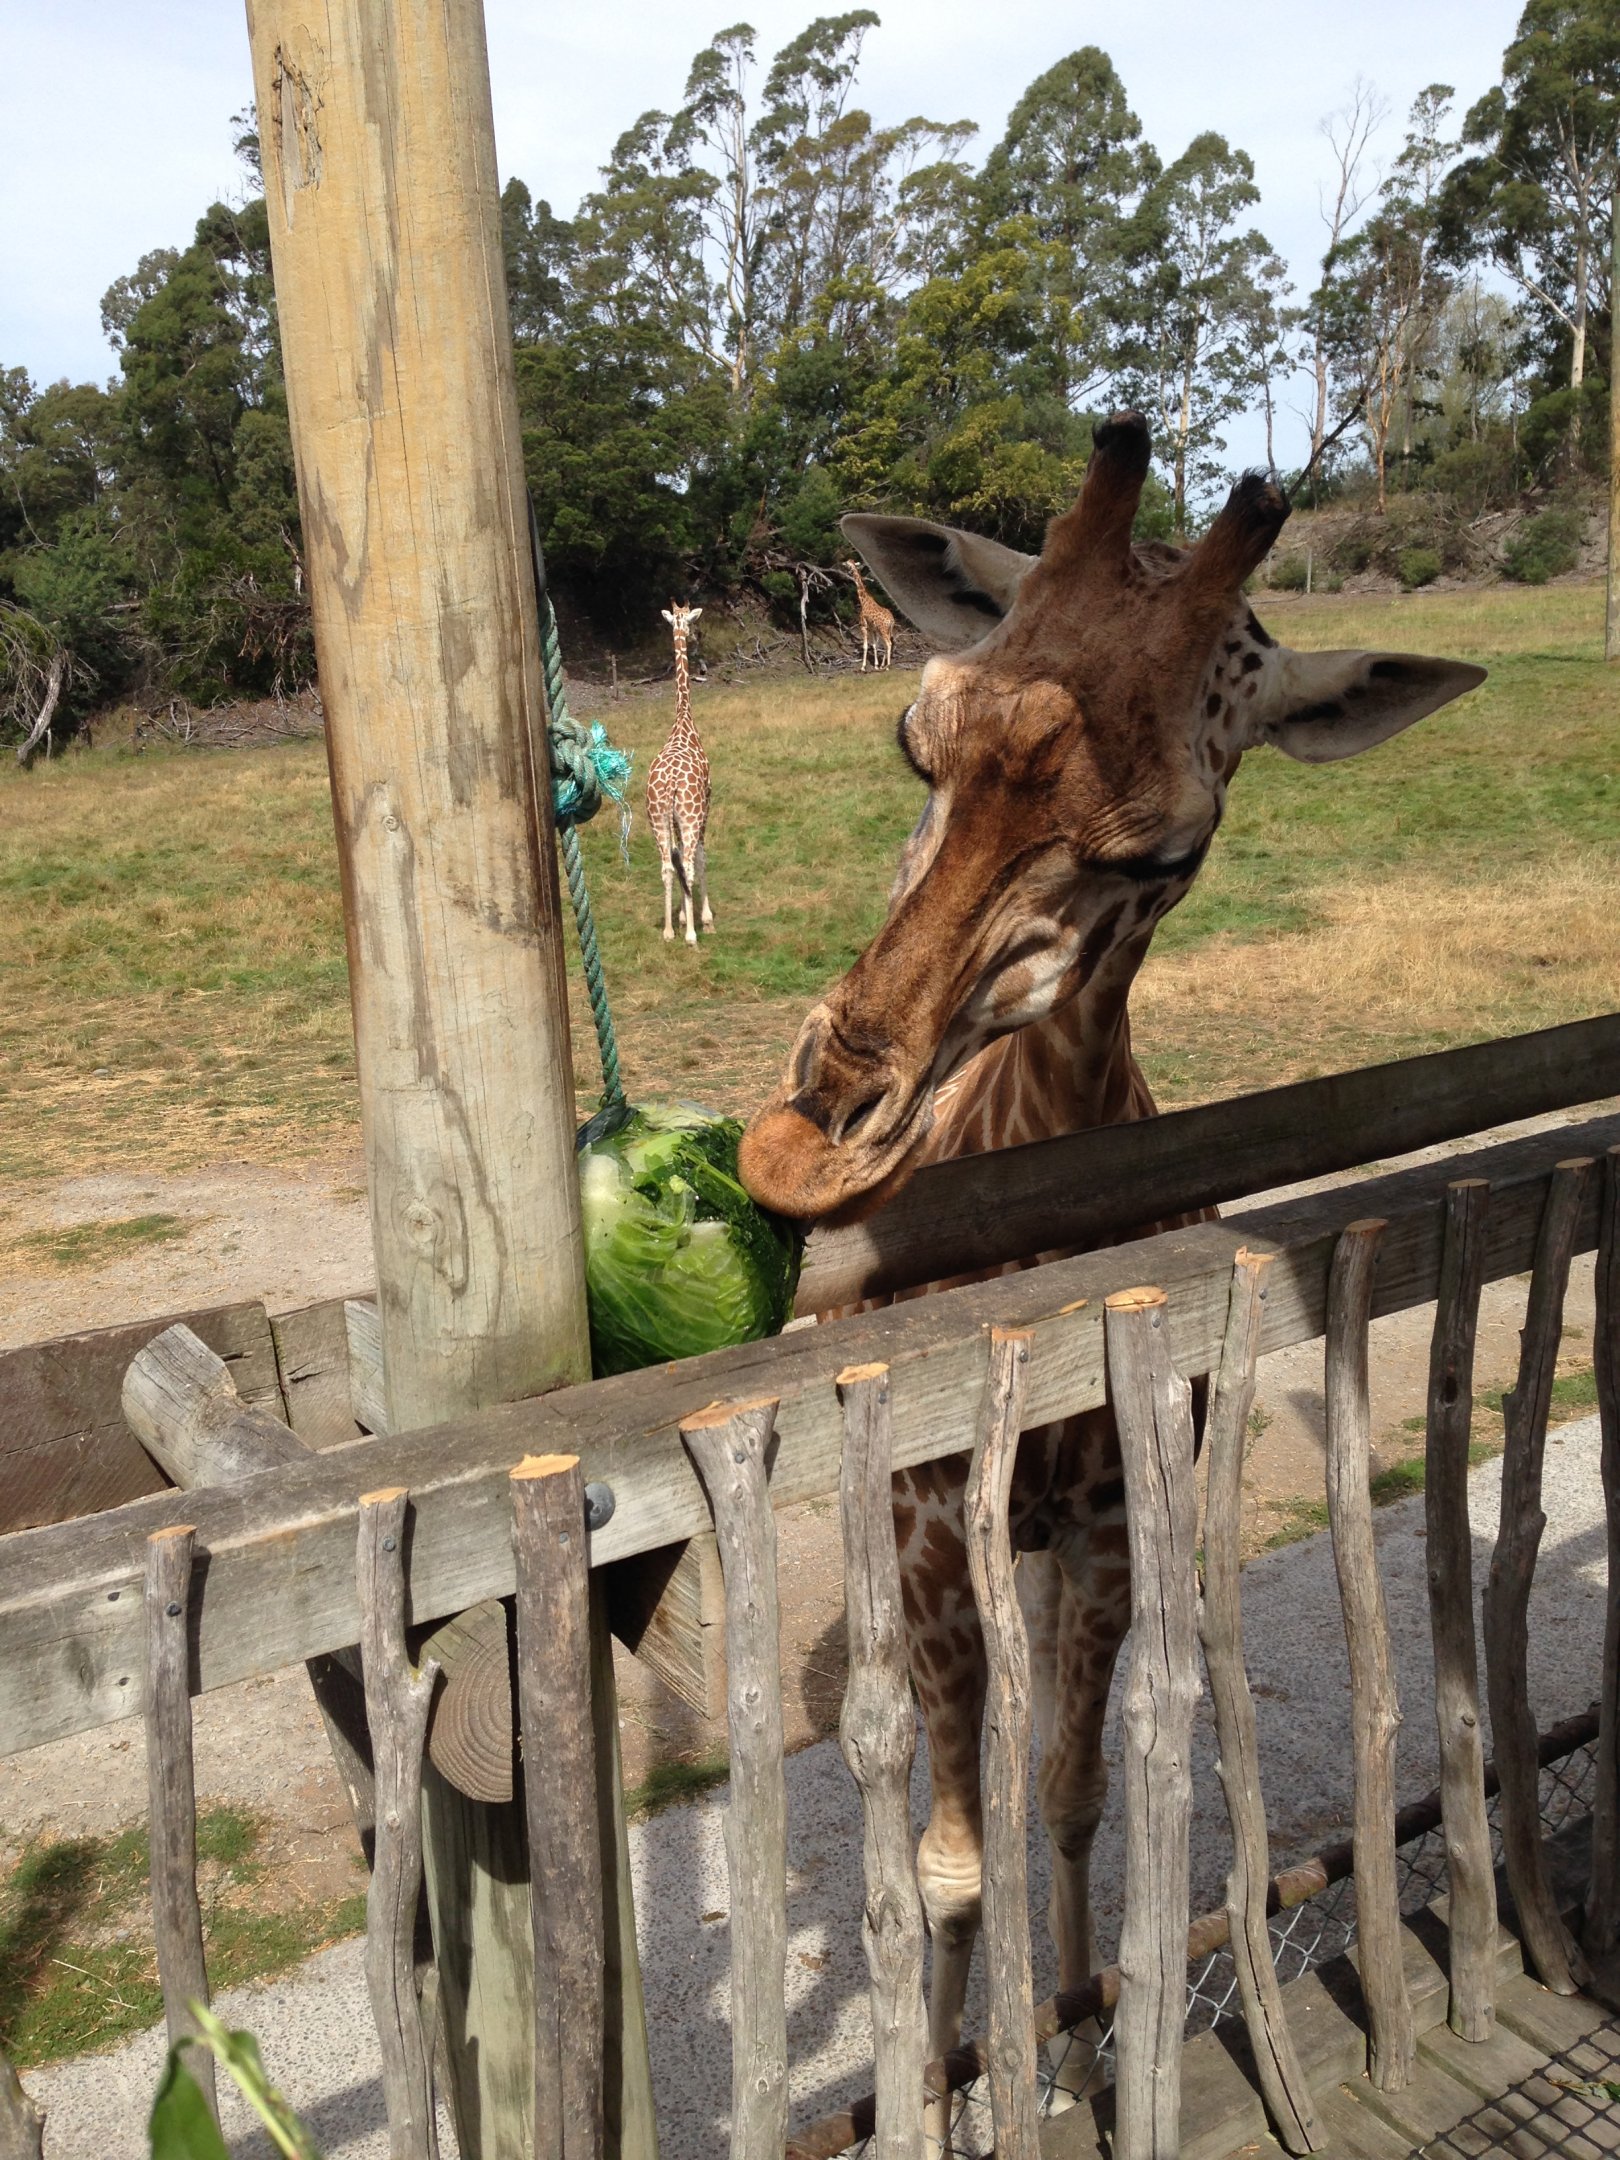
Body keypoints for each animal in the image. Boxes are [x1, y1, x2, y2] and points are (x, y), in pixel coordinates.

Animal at [741, 414, 1484, 2125]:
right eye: (913, 739)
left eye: (1166, 847)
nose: (812, 1141)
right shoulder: (929, 1532)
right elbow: (947, 1866)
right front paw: (937, 2093)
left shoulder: (1107, 1528)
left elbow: (1077, 1795)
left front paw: (1079, 2056)